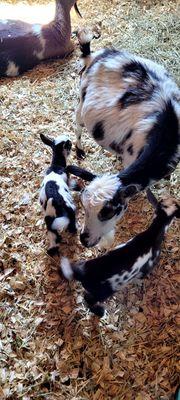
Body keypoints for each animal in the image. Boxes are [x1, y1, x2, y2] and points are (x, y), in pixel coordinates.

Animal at [61, 189, 179, 318]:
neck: (152, 233)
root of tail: (83, 273)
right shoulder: (149, 264)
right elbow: (141, 276)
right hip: (102, 292)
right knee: (88, 298)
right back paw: (100, 312)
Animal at [67, 28, 179, 247]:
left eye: (108, 211)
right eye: (83, 205)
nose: (84, 239)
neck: (167, 126)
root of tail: (96, 55)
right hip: (81, 102)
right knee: (77, 126)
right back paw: (79, 149)